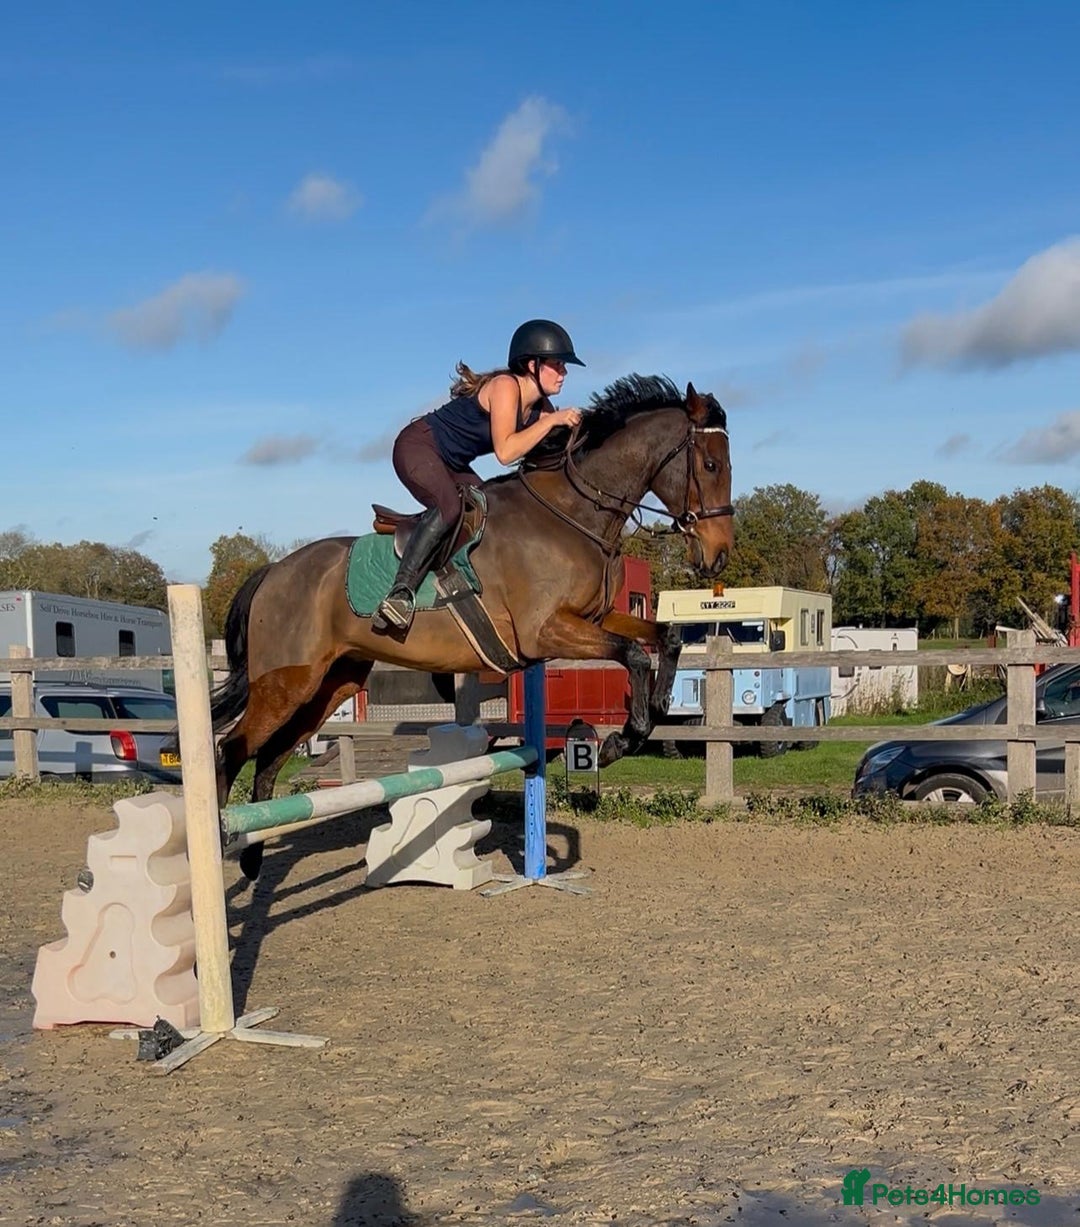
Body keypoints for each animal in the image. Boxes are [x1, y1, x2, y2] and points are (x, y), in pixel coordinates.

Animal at [211, 373, 733, 876]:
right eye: (710, 466)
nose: (718, 555)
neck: (573, 515)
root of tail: (273, 572)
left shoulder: (596, 619)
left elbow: (664, 638)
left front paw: (657, 709)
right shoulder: (546, 632)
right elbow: (633, 655)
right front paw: (620, 741)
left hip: (330, 685)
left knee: (270, 754)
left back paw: (254, 855)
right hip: (286, 682)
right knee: (231, 748)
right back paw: (220, 839)